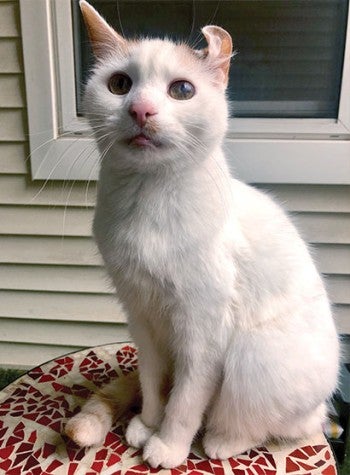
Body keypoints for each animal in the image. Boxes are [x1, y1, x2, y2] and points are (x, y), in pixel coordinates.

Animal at [65, 0, 340, 468]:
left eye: (181, 90)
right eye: (119, 84)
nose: (140, 110)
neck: (147, 201)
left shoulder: (203, 331)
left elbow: (186, 400)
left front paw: (168, 445)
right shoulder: (141, 318)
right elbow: (155, 383)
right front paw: (148, 424)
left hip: (253, 358)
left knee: (270, 425)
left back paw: (221, 440)